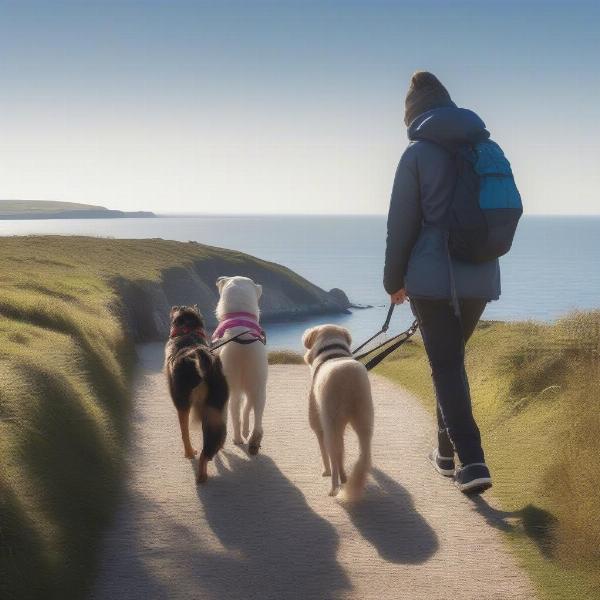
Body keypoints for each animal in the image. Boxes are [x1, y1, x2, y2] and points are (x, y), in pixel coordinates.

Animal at [165, 304, 229, 482]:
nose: (174, 307)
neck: (188, 333)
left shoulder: (182, 405)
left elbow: (184, 433)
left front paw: (188, 453)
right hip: (216, 410)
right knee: (210, 446)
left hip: (185, 402)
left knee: (200, 452)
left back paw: (200, 475)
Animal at [212, 276, 266, 454]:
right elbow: (247, 408)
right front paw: (246, 430)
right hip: (258, 384)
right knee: (256, 414)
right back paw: (253, 439)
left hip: (232, 385)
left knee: (234, 411)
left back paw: (236, 438)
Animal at [302, 326, 372, 500]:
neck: (332, 353)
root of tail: (348, 379)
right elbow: (341, 454)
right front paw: (344, 477)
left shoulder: (318, 427)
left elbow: (325, 454)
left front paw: (326, 472)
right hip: (365, 420)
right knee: (363, 455)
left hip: (330, 425)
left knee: (333, 456)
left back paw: (334, 488)